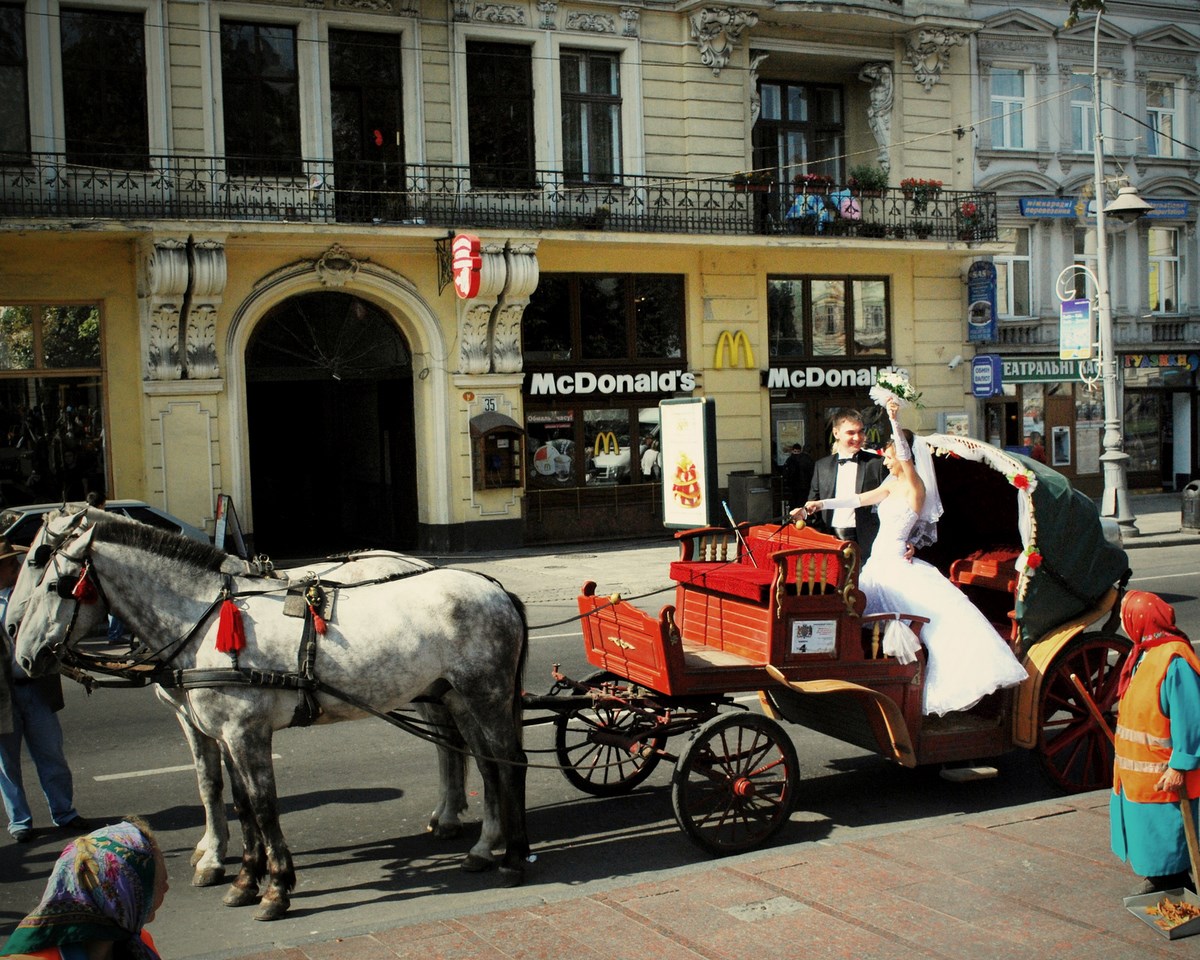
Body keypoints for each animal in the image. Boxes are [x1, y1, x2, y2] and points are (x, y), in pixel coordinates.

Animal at [12, 518, 530, 921]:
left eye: (52, 581)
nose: (22, 653)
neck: (202, 619)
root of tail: (495, 588)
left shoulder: (246, 733)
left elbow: (263, 806)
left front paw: (275, 887)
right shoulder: (223, 732)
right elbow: (236, 802)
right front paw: (244, 878)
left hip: (486, 693)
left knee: (511, 765)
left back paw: (513, 857)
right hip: (456, 694)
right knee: (484, 763)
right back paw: (483, 846)